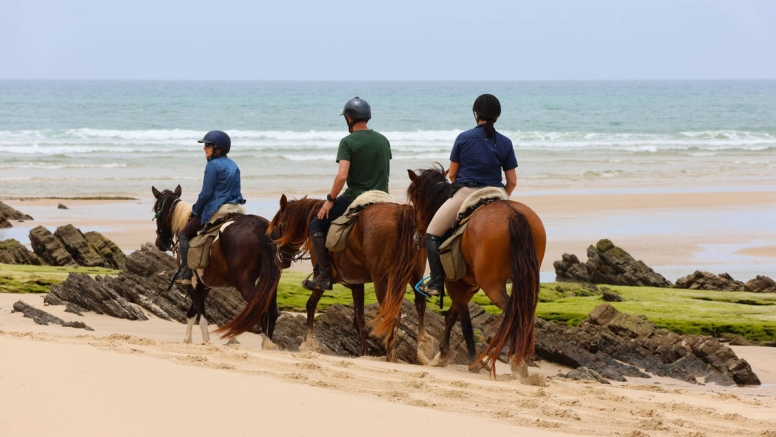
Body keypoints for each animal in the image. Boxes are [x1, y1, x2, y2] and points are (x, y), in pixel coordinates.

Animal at [150, 186, 280, 342]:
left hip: (244, 283)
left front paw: (205, 341)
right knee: (272, 312)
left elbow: (201, 318)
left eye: (156, 209)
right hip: (270, 282)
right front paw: (188, 340)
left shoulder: (193, 284)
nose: (159, 243)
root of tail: (260, 227)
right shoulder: (205, 286)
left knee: (261, 309)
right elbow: (192, 314)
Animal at [266, 195, 424, 362]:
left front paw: (309, 344)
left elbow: (310, 305)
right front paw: (364, 353)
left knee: (391, 313)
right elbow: (358, 319)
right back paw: (423, 348)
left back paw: (391, 355)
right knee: (419, 304)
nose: (279, 261)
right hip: (413, 276)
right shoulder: (357, 285)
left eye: (279, 226)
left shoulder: (321, 280)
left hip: (383, 280)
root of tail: (401, 211)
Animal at [406, 165, 544, 376]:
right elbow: (451, 317)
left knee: (513, 311)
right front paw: (442, 354)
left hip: (492, 285)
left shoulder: (455, 285)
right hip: (526, 279)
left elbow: (465, 323)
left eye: (415, 200)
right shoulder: (469, 286)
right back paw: (520, 361)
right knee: (526, 312)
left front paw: (471, 362)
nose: (417, 237)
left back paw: (515, 360)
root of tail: (513, 214)